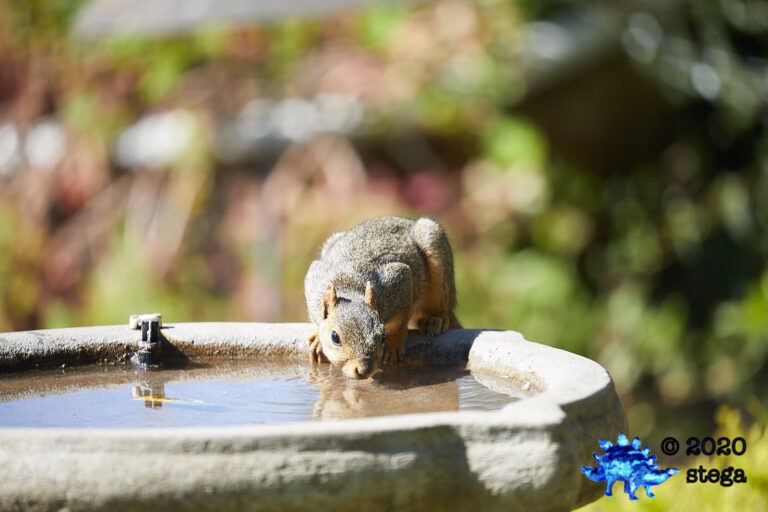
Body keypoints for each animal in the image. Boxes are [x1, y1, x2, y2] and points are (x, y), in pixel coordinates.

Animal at [304, 216, 461, 380]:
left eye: (383, 336)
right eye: (335, 337)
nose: (364, 370)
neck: (350, 287)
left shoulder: (399, 280)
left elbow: (400, 323)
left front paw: (393, 345)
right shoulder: (313, 279)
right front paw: (318, 339)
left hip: (436, 256)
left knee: (442, 305)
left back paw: (434, 319)